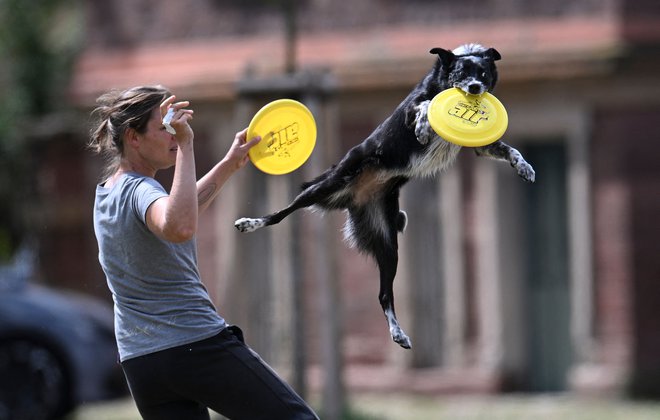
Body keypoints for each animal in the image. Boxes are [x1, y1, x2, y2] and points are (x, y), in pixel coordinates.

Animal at [235, 44, 532, 350]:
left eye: (482, 74)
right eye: (461, 73)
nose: (474, 88)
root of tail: (356, 197)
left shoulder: (482, 147)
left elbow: (509, 150)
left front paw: (524, 167)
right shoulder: (412, 109)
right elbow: (425, 106)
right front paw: (423, 128)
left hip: (389, 246)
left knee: (384, 295)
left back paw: (398, 333)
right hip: (326, 185)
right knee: (282, 213)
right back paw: (250, 222)